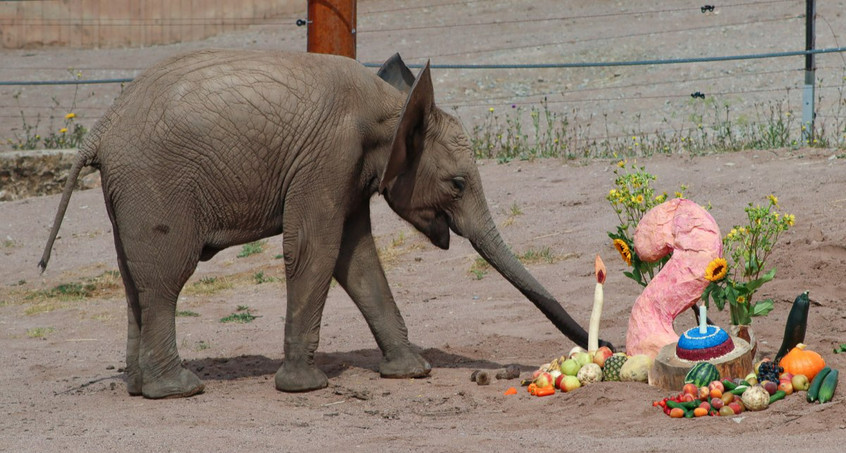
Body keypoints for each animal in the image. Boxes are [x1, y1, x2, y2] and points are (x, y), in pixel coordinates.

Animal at [41, 48, 608, 396]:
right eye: (457, 185)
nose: (604, 347)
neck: (390, 105)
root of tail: (99, 130)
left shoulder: (350, 170)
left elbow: (356, 260)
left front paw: (411, 373)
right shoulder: (328, 158)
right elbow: (315, 249)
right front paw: (306, 387)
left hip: (131, 191)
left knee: (133, 280)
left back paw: (140, 389)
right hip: (155, 184)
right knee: (164, 278)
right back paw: (180, 390)